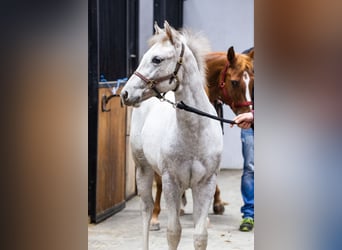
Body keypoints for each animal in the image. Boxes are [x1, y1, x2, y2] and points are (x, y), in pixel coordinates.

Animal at [121, 21, 223, 250]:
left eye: (157, 59)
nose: (125, 94)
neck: (194, 135)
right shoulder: (171, 182)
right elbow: (174, 232)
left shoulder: (206, 184)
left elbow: (200, 235)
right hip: (143, 169)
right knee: (146, 208)